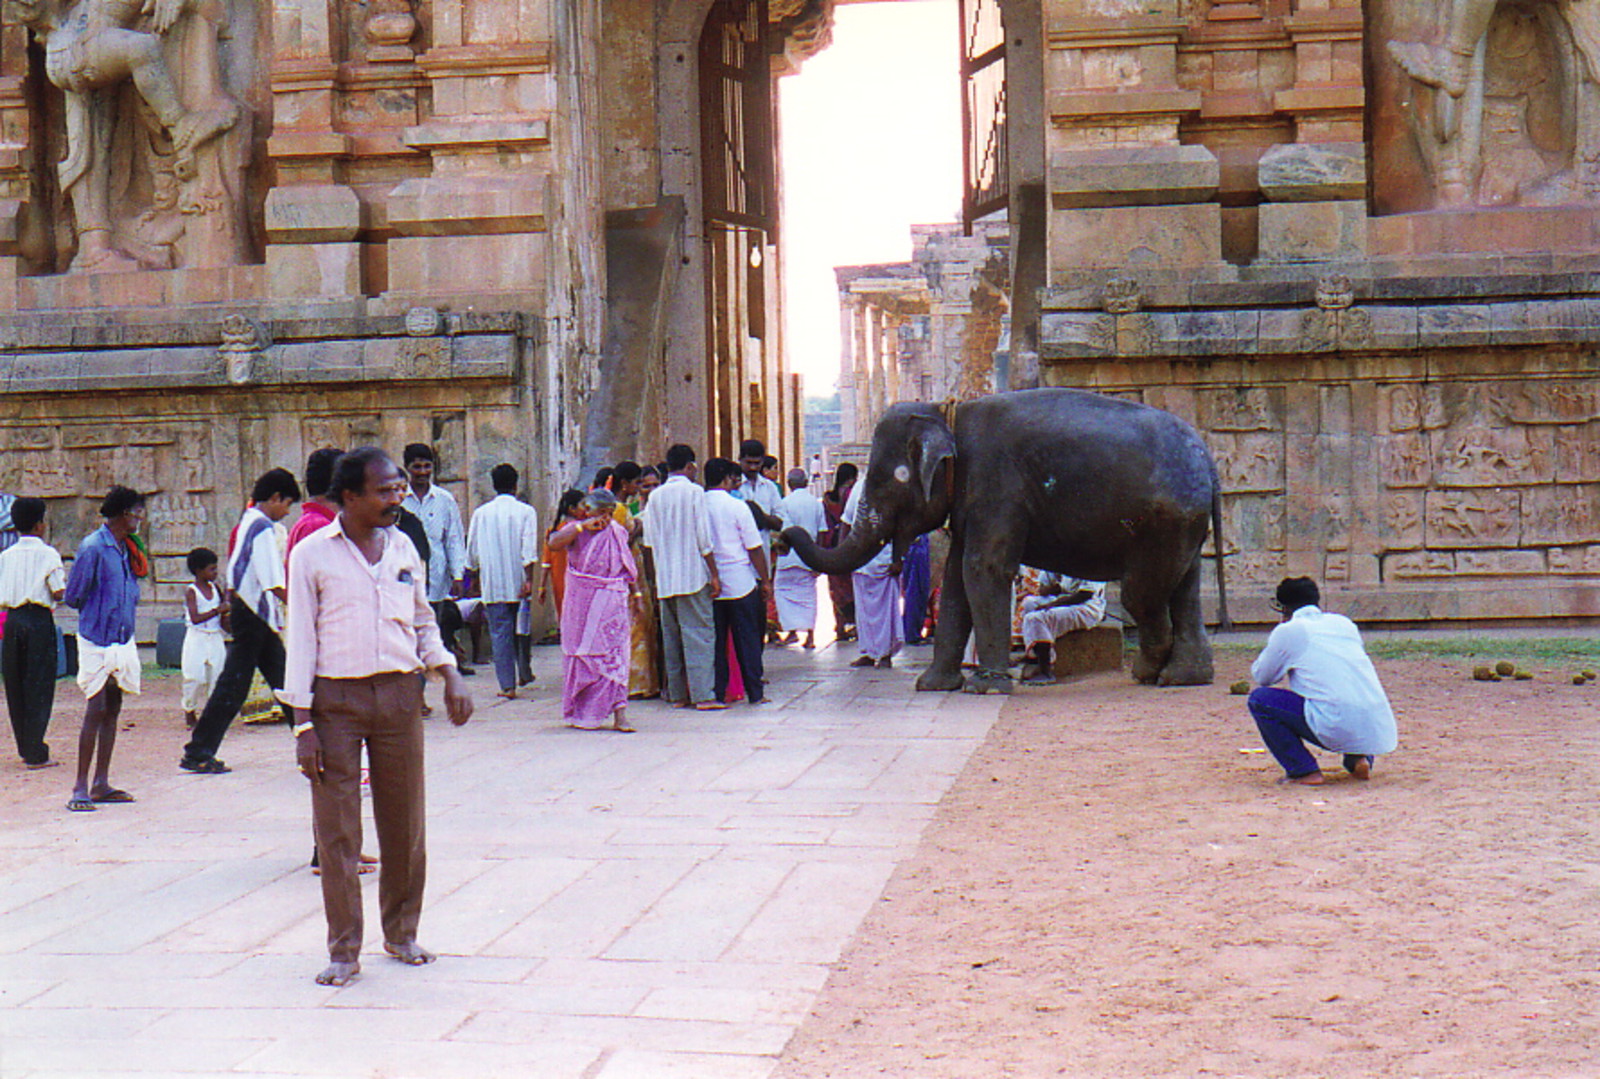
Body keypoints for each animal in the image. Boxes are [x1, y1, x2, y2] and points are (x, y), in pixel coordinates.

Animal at [784, 387, 1222, 688]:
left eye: (881, 480)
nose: (785, 532)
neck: (947, 413)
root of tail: (1208, 459)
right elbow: (957, 580)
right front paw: (933, 687)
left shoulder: (996, 487)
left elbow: (982, 569)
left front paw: (987, 688)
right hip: (1184, 523)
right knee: (1184, 588)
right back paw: (1183, 677)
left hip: (1166, 520)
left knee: (1139, 593)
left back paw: (1150, 671)